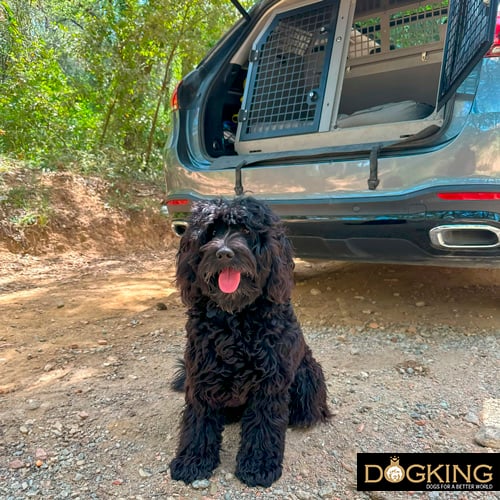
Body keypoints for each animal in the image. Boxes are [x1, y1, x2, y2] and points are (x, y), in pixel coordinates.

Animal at [170, 197, 330, 486]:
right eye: (211, 232)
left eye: (246, 231)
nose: (224, 253)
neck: (235, 319)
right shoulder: (201, 374)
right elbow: (198, 421)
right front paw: (193, 461)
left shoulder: (270, 382)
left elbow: (263, 425)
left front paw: (259, 465)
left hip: (307, 372)